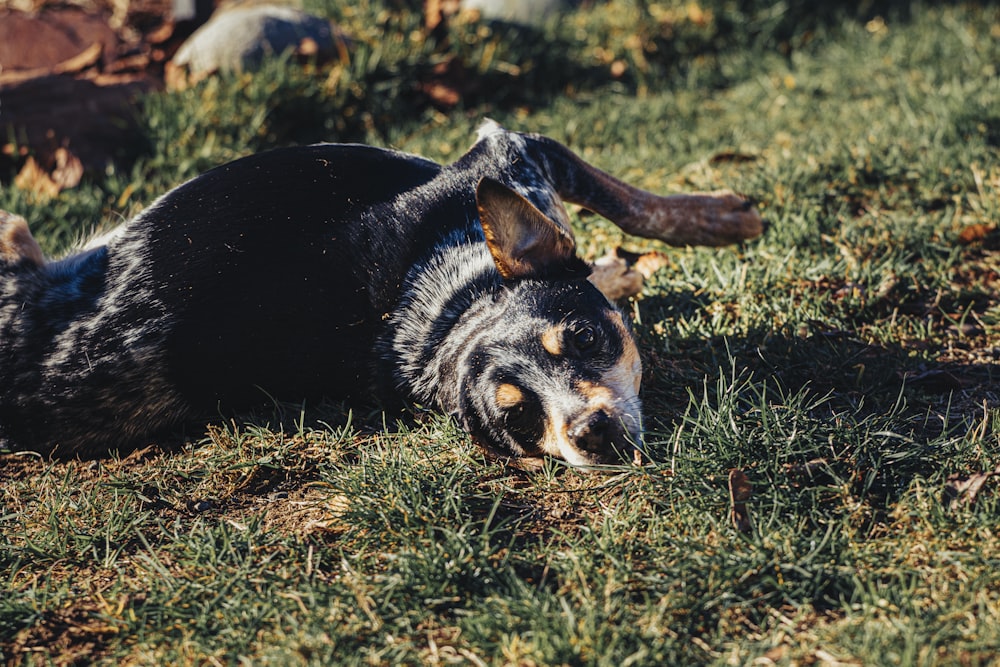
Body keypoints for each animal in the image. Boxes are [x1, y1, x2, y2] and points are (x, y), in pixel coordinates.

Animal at [0, 125, 760, 468]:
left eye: (582, 337)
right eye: (519, 420)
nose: (589, 432)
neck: (438, 308)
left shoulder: (511, 156)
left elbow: (629, 202)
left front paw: (717, 218)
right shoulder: (510, 153)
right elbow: (621, 205)